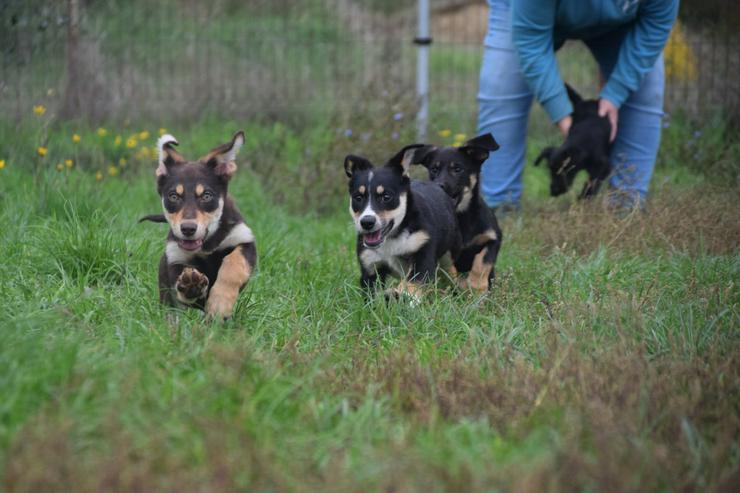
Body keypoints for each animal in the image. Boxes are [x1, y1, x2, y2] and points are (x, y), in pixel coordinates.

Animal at [141, 131, 258, 320]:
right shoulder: (176, 257)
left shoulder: (244, 241)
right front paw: (190, 286)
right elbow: (183, 288)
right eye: (173, 196)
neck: (206, 245)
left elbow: (233, 266)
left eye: (206, 196)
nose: (188, 229)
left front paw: (220, 304)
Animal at [344, 144, 460, 300]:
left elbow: (413, 284)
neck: (392, 239)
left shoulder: (422, 254)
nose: (367, 222)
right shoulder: (370, 267)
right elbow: (372, 296)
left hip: (450, 255)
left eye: (386, 197)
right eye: (358, 197)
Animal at [410, 134, 502, 292]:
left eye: (457, 169)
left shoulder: (493, 238)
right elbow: (448, 268)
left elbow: (482, 262)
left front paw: (477, 285)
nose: (438, 185)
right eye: (434, 169)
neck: (461, 216)